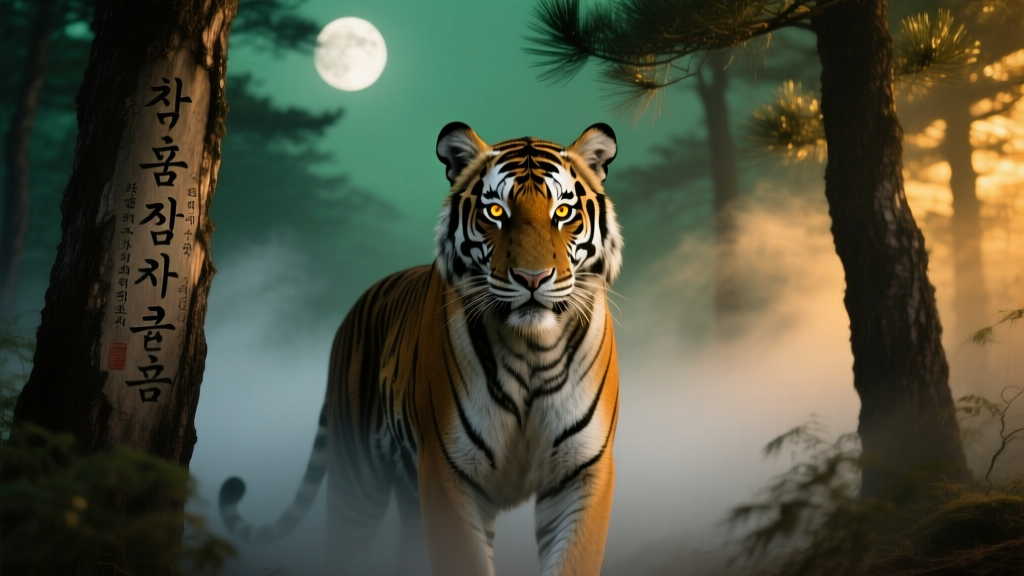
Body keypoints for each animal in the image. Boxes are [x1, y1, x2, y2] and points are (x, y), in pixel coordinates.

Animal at [218, 122, 623, 576]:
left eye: (563, 212)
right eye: (495, 213)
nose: (532, 278)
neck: (531, 349)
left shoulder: (582, 470)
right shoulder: (448, 471)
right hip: (357, 482)